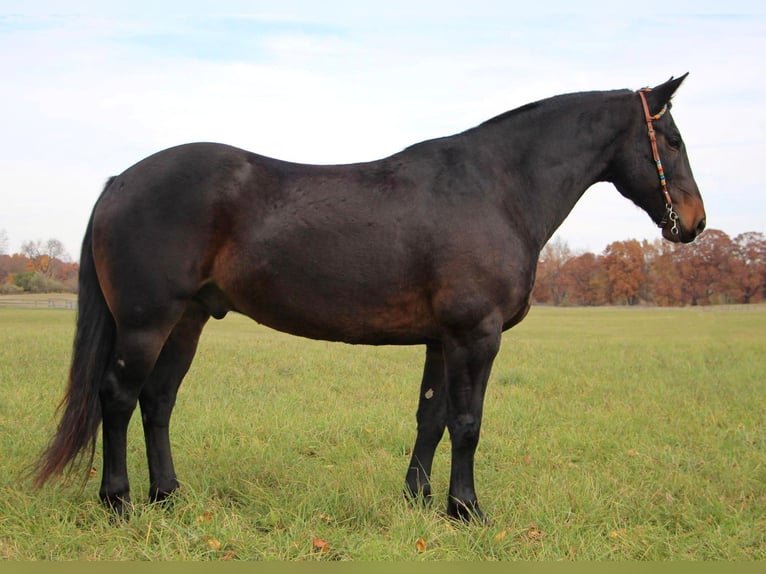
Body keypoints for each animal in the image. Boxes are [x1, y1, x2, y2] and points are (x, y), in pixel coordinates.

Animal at [36, 75, 708, 520]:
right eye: (672, 139)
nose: (695, 223)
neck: (495, 188)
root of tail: (121, 181)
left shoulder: (442, 338)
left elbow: (431, 417)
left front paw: (419, 499)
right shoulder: (476, 335)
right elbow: (467, 422)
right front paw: (466, 510)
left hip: (188, 320)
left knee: (158, 401)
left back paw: (168, 496)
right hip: (147, 322)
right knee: (119, 397)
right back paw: (120, 503)